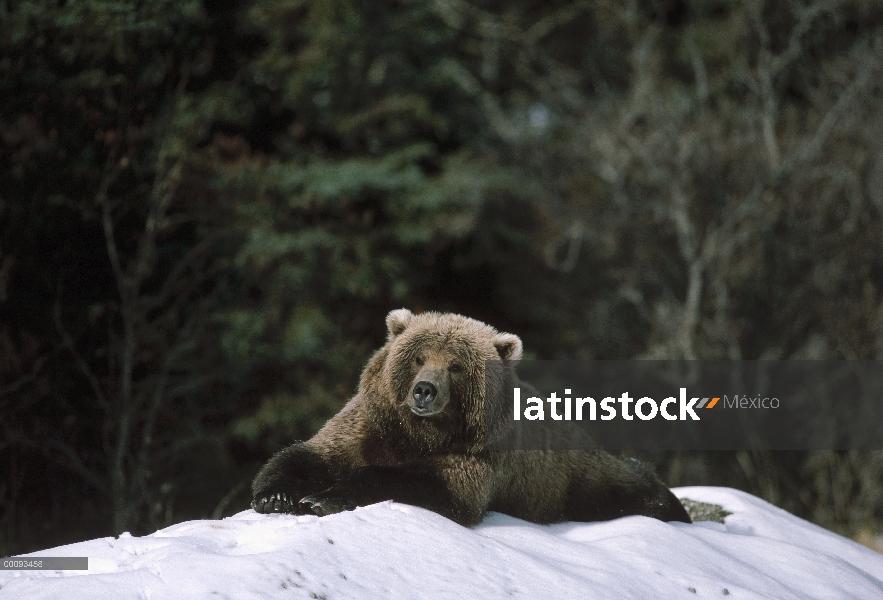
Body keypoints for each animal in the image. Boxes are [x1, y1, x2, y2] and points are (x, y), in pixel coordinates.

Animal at [250, 310, 692, 524]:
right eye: (419, 357)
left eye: (456, 366)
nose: (424, 390)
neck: (421, 433)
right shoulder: (370, 424)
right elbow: (310, 454)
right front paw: (277, 495)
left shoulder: (478, 458)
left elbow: (433, 484)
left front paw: (323, 497)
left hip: (579, 480)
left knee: (626, 487)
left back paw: (671, 505)